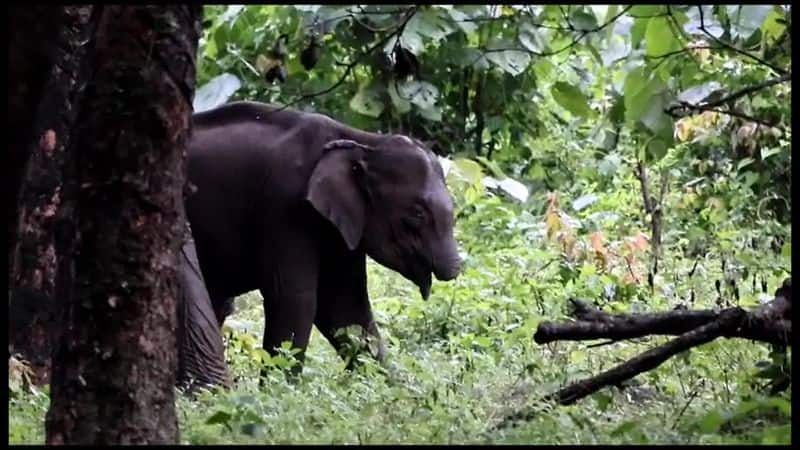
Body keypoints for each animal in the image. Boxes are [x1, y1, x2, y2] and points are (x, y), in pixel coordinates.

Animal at [187, 101, 460, 372]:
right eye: (418, 213)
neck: (363, 142)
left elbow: (345, 307)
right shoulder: (284, 208)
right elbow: (295, 300)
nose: (455, 270)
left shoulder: (341, 228)